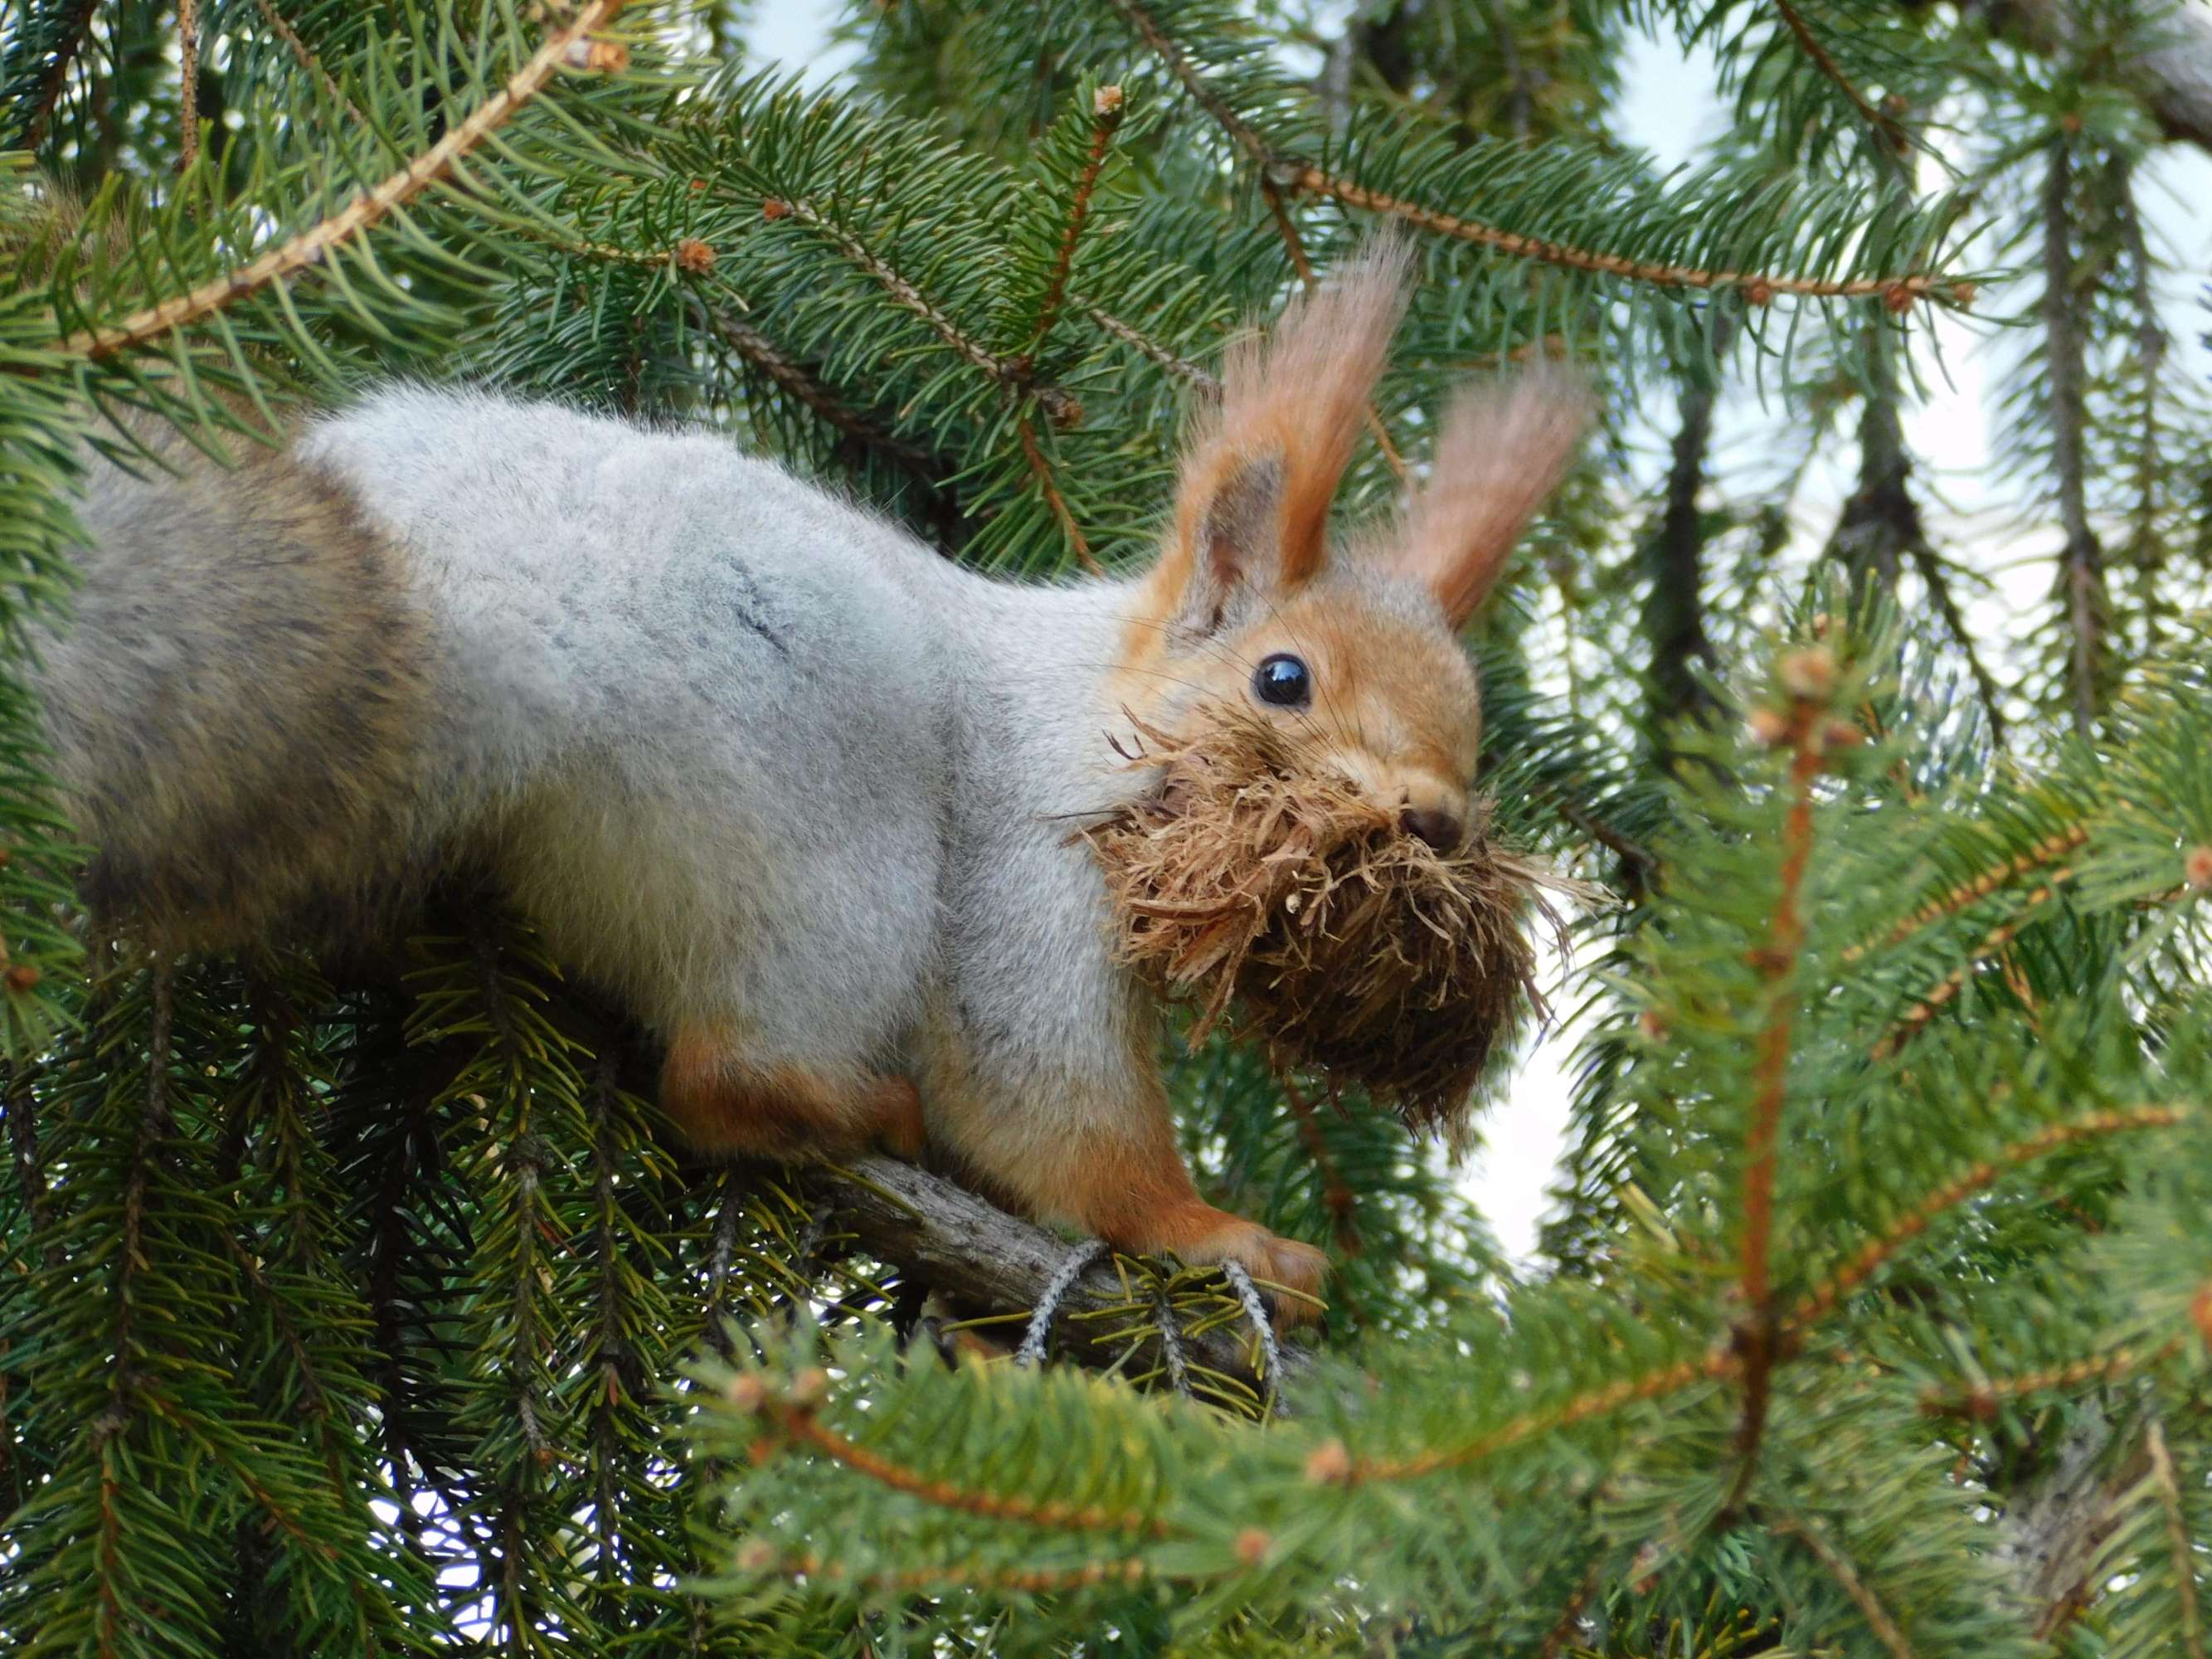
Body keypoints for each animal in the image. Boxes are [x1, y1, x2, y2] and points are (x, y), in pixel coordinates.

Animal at [30, 246, 1592, 1318]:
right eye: (1282, 680)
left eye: (1470, 741)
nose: (1430, 818)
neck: (1085, 705)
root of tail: (464, 610)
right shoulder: (1028, 868)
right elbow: (1049, 1107)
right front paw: (1218, 1236)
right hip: (823, 828)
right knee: (720, 1075)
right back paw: (842, 1106)